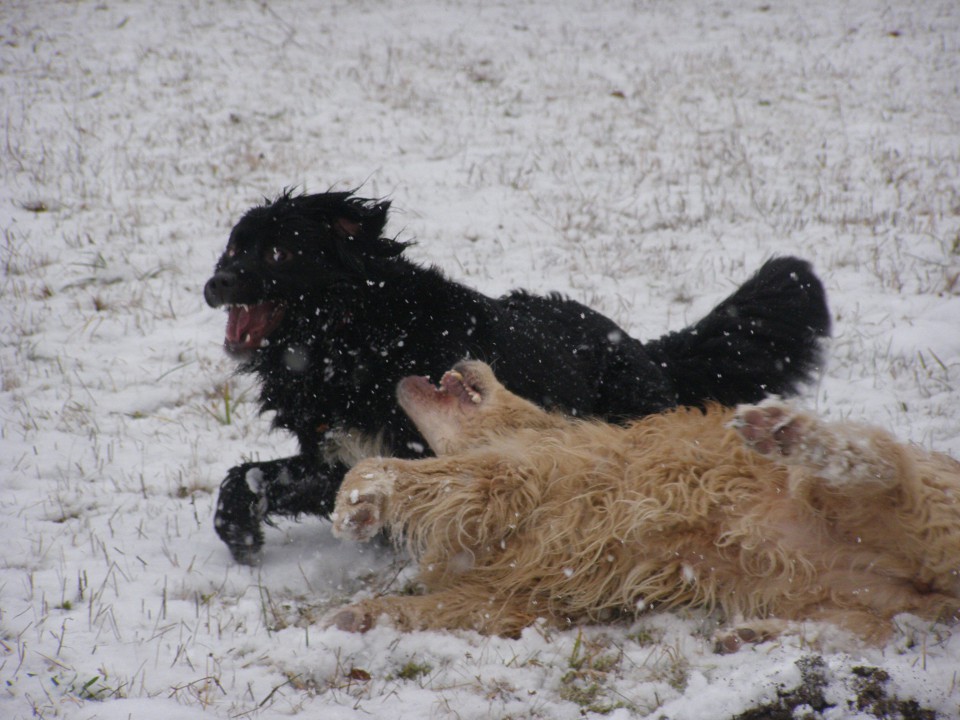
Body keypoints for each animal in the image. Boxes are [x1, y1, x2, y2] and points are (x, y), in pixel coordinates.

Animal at [204, 191, 832, 564]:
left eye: (281, 253)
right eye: (234, 247)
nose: (217, 282)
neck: (354, 334)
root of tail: (639, 346)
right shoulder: (336, 450)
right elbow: (248, 478)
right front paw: (239, 531)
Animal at [330, 360, 960, 648]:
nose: (472, 361)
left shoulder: (514, 473)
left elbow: (407, 471)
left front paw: (358, 502)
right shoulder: (519, 599)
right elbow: (438, 608)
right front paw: (364, 614)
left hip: (874, 492)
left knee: (878, 462)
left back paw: (785, 432)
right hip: (835, 602)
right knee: (869, 631)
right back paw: (751, 636)